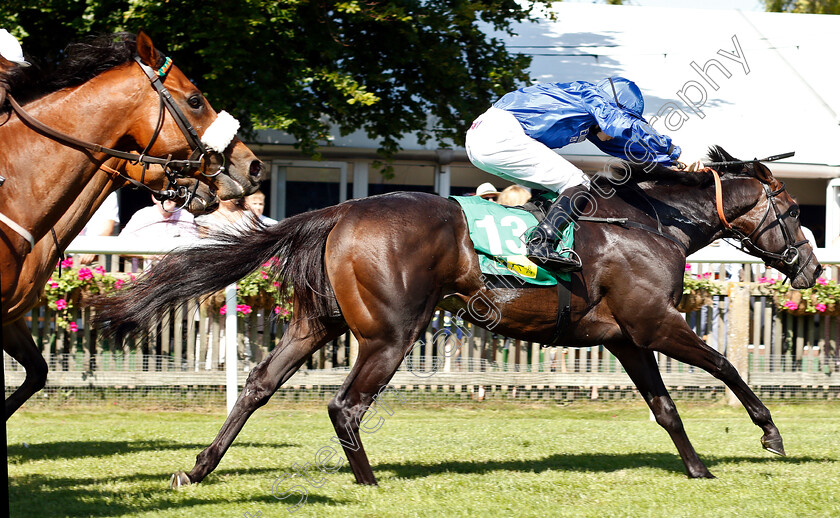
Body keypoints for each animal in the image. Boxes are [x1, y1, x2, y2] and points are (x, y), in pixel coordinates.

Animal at [93, 147, 820, 488]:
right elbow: (726, 366)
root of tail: (340, 209)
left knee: (259, 386)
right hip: (392, 332)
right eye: (792, 213)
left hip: (317, 324)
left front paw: (698, 468)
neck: (648, 222)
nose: (813, 270)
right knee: (345, 406)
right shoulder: (654, 324)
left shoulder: (625, 339)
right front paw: (770, 434)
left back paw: (197, 468)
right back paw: (367, 480)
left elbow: (665, 408)